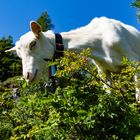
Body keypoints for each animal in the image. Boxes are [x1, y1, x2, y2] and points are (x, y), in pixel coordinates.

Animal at [5, 17, 140, 101]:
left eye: (33, 43)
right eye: (19, 55)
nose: (27, 76)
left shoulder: (134, 62)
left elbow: (138, 98)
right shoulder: (103, 71)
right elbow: (110, 94)